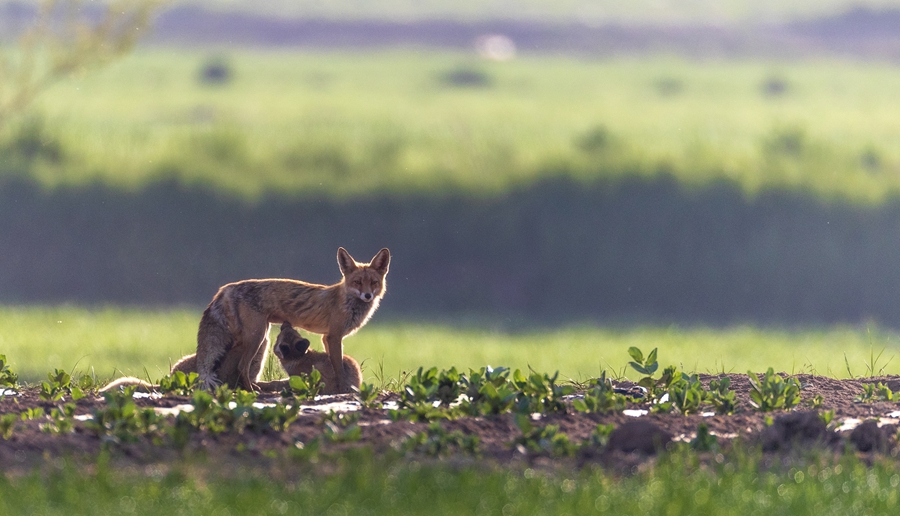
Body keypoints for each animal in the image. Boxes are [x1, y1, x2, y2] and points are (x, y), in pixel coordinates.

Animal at [195, 247, 389, 392]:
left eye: (373, 283)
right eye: (357, 282)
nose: (367, 296)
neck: (348, 302)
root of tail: (226, 288)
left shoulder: (327, 338)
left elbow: (336, 364)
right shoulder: (334, 336)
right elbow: (339, 369)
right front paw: (342, 390)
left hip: (251, 338)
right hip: (257, 336)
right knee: (241, 366)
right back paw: (251, 390)